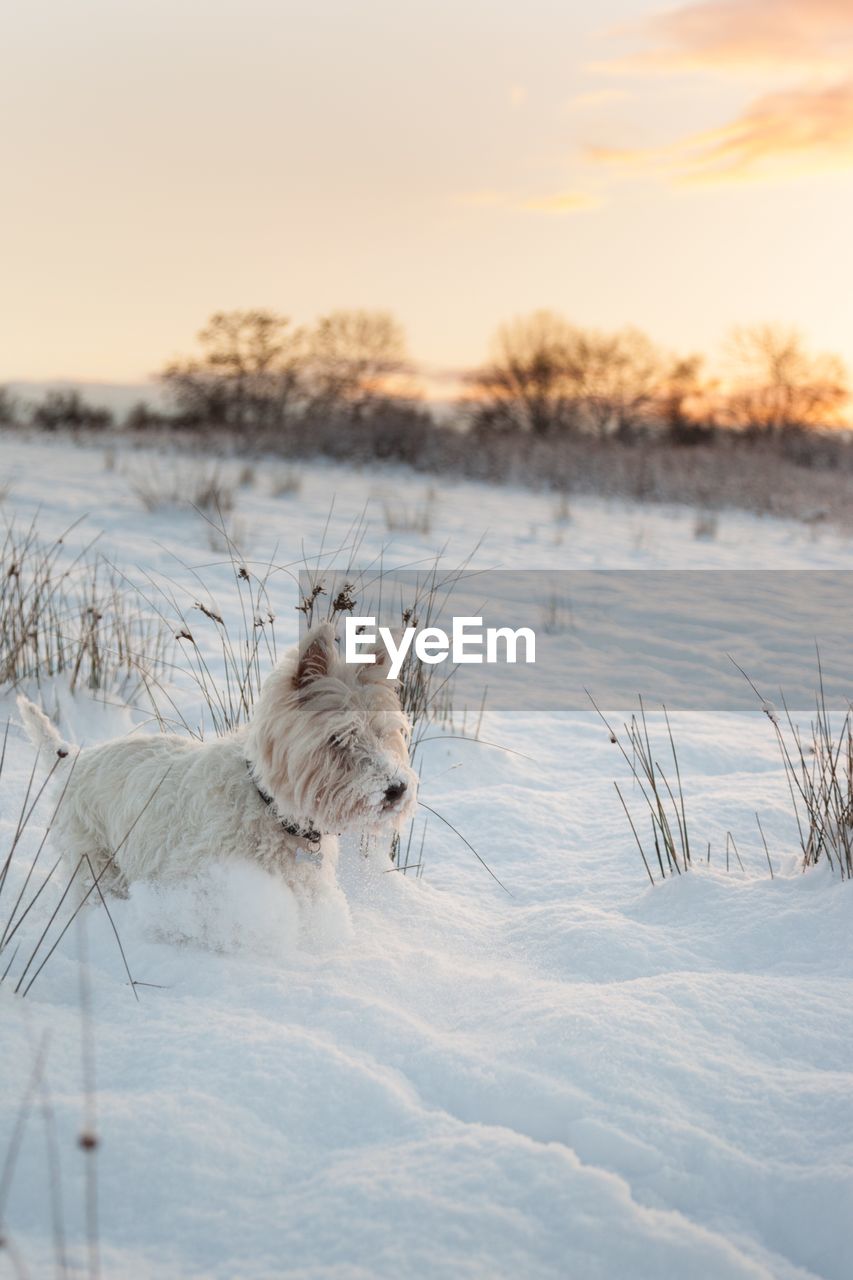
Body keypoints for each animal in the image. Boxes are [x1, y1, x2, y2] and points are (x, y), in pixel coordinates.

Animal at [18, 622, 417, 901]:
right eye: (338, 738)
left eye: (387, 732)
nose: (396, 790)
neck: (269, 804)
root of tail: (75, 758)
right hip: (93, 857)